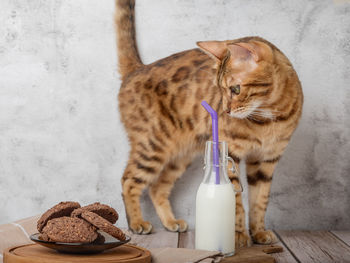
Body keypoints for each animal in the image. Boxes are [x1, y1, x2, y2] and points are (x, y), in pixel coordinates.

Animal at [115, 0, 304, 249]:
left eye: (235, 89)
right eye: (220, 89)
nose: (225, 110)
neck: (268, 117)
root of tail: (138, 69)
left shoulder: (267, 160)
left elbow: (260, 200)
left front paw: (259, 232)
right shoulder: (232, 153)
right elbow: (237, 201)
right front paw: (238, 236)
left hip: (181, 154)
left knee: (157, 187)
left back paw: (171, 222)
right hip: (152, 145)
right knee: (129, 180)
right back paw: (137, 223)